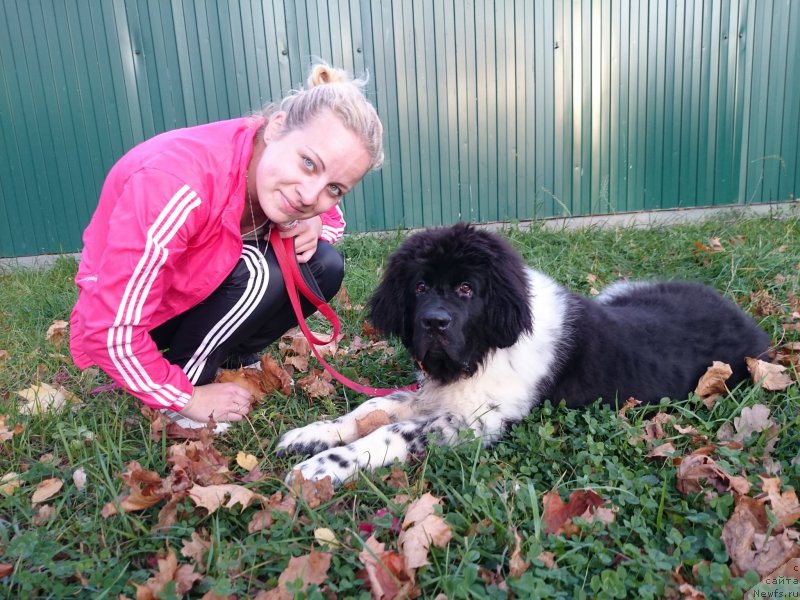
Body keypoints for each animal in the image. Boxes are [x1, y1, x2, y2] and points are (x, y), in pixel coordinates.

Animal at [278, 223, 772, 486]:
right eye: (419, 287)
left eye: (466, 289)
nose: (434, 323)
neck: (482, 352)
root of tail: (745, 320)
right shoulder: (435, 395)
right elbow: (370, 408)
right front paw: (312, 435)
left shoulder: (477, 423)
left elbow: (392, 432)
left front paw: (323, 467)